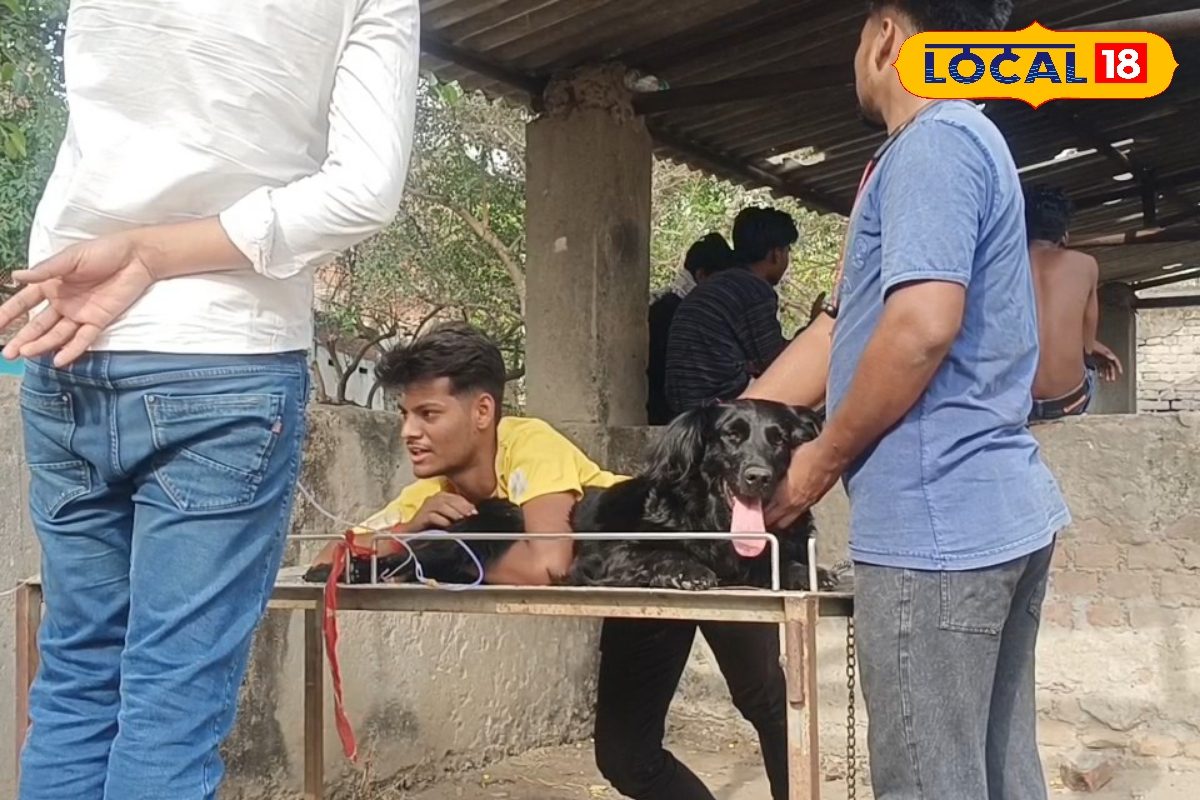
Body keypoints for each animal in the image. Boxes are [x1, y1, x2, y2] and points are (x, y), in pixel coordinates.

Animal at [304, 399, 831, 591]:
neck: (710, 518)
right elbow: (658, 554)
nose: (758, 476)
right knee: (398, 558)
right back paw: (345, 571)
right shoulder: (604, 557)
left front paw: (806, 570)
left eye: (780, 440)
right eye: (731, 436)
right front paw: (687, 569)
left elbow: (775, 562)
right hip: (489, 529)